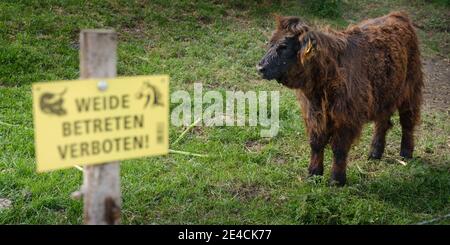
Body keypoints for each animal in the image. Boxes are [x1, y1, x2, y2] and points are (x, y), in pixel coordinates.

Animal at [258, 10, 424, 185]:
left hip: (410, 89)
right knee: (382, 123)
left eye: (283, 46)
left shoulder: (345, 117)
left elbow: (339, 149)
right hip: (384, 95)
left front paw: (337, 180)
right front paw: (313, 173)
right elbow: (315, 143)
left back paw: (406, 153)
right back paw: (375, 153)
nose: (260, 67)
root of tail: (397, 15)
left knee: (407, 121)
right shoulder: (314, 115)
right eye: (270, 44)